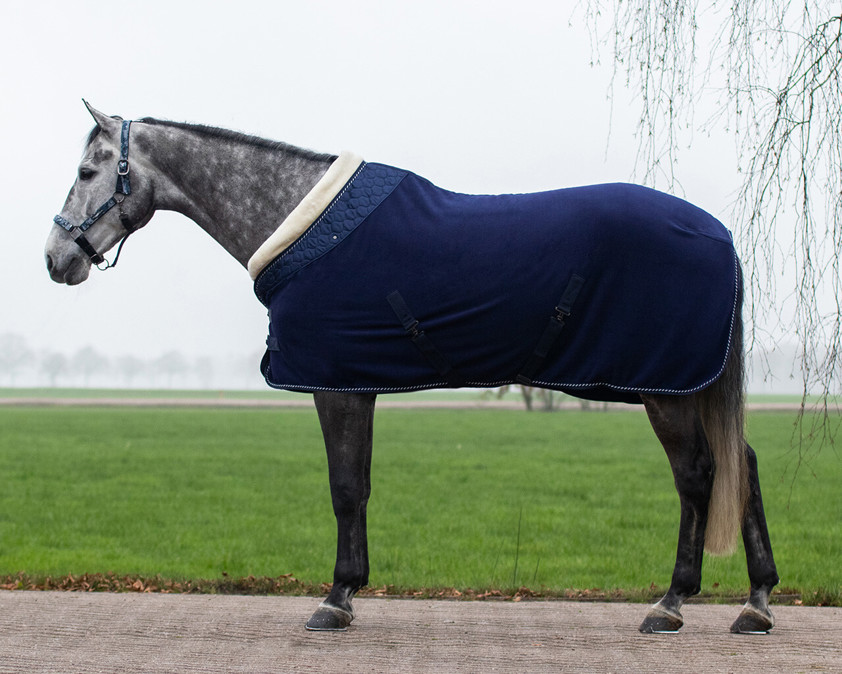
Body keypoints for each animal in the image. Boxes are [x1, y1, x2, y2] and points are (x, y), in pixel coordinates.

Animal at [47, 102, 780, 632]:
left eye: (86, 172)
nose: (57, 258)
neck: (305, 225)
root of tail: (722, 235)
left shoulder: (334, 385)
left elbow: (344, 487)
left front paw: (335, 599)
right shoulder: (356, 384)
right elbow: (361, 485)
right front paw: (350, 591)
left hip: (668, 389)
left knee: (698, 475)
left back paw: (671, 604)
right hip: (687, 383)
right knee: (742, 463)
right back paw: (757, 603)